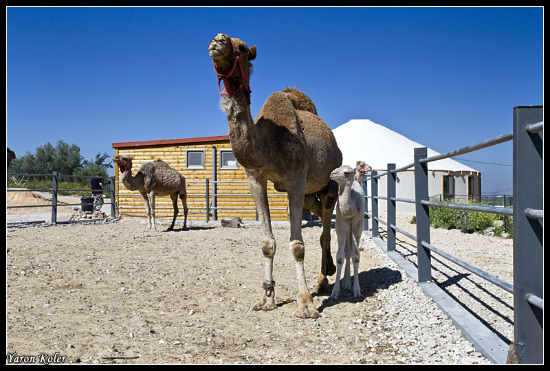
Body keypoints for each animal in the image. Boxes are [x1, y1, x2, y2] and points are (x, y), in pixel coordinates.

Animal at [209, 34, 342, 320]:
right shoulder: (256, 179)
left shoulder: (296, 179)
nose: (217, 41)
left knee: (326, 228)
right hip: (306, 194)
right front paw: (266, 298)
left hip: (328, 183)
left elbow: (298, 245)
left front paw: (305, 304)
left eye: (242, 47)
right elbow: (267, 243)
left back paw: (323, 280)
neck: (268, 143)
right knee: (315, 213)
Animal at [330, 164, 364, 300]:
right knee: (347, 251)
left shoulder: (357, 225)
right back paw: (346, 283)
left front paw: (357, 290)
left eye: (346, 173)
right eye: (336, 168)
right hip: (346, 229)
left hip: (354, 229)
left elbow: (356, 256)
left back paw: (349, 283)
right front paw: (335, 292)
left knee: (350, 251)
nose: (331, 173)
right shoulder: (341, 225)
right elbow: (340, 257)